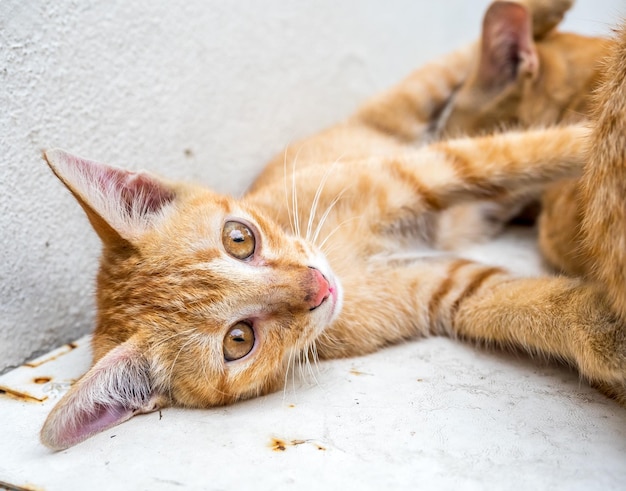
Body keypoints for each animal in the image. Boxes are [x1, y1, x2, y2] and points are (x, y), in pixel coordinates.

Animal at [41, 5, 620, 452]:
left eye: (239, 239)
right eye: (239, 340)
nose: (319, 286)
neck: (343, 258)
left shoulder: (422, 172)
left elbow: (532, 150)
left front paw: (595, 136)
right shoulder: (446, 290)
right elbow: (531, 306)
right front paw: (607, 334)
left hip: (400, 115)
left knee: (451, 67)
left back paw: (536, 17)